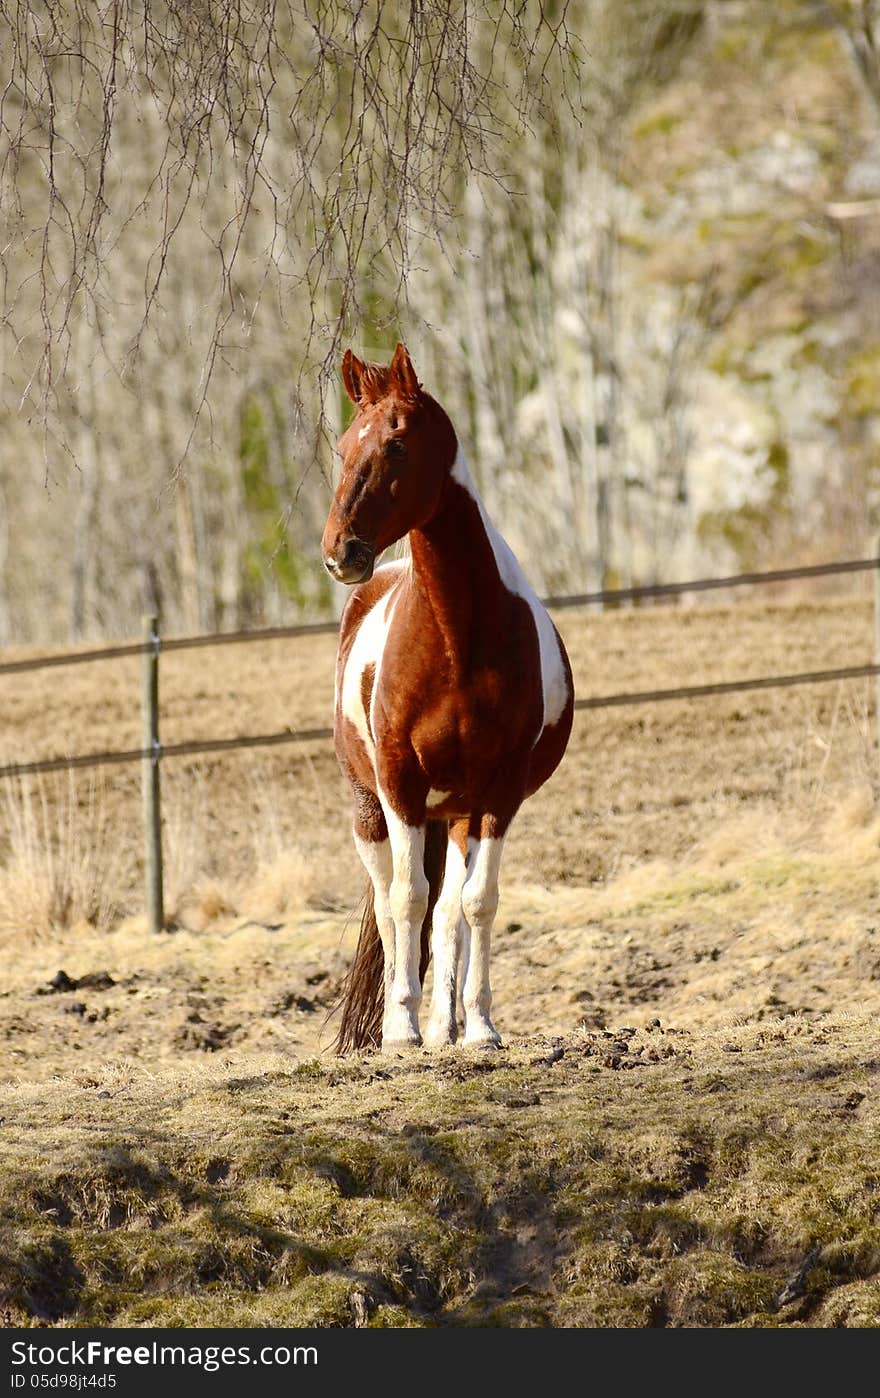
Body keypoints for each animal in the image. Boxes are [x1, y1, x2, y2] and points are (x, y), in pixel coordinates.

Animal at [318, 343, 573, 1051]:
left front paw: (479, 1025)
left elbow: (476, 903)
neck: (459, 638)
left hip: (455, 813)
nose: (340, 552)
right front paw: (400, 1027)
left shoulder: (499, 793)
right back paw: (404, 1022)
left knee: (449, 908)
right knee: (392, 903)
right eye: (343, 446)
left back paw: (445, 1026)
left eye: (397, 445)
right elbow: (407, 899)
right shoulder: (400, 784)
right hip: (369, 807)